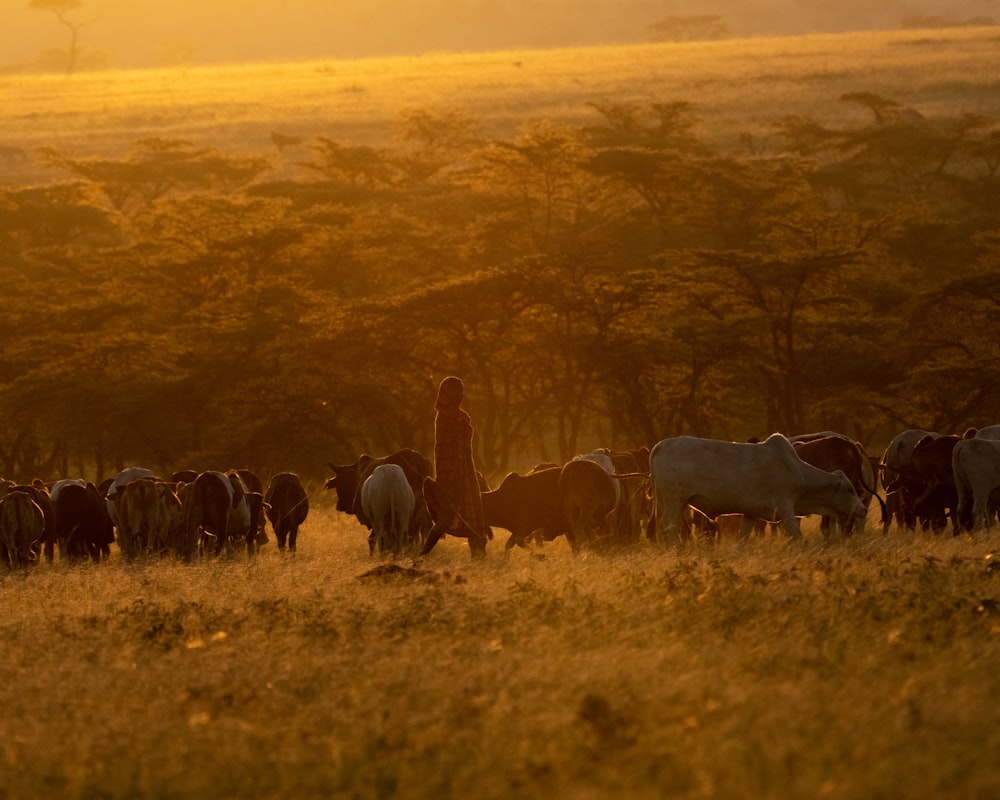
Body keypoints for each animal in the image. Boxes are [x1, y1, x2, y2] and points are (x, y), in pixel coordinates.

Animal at [648, 434, 868, 548]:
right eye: (850, 489)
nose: (863, 509)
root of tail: (662, 444)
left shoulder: (750, 513)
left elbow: (743, 538)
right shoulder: (785, 507)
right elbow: (797, 535)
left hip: (668, 500)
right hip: (675, 500)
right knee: (667, 524)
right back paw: (678, 548)